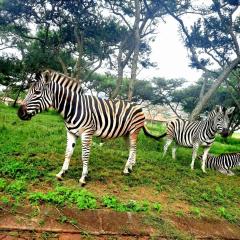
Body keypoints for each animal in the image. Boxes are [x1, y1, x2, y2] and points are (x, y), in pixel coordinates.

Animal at [17, 69, 160, 186]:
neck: (73, 108)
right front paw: (61, 173)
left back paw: (126, 169)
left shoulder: (87, 133)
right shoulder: (71, 132)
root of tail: (138, 106)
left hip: (134, 130)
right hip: (126, 133)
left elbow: (85, 155)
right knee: (132, 148)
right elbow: (68, 153)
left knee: (133, 148)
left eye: (37, 92)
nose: (19, 113)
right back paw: (131, 166)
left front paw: (83, 177)